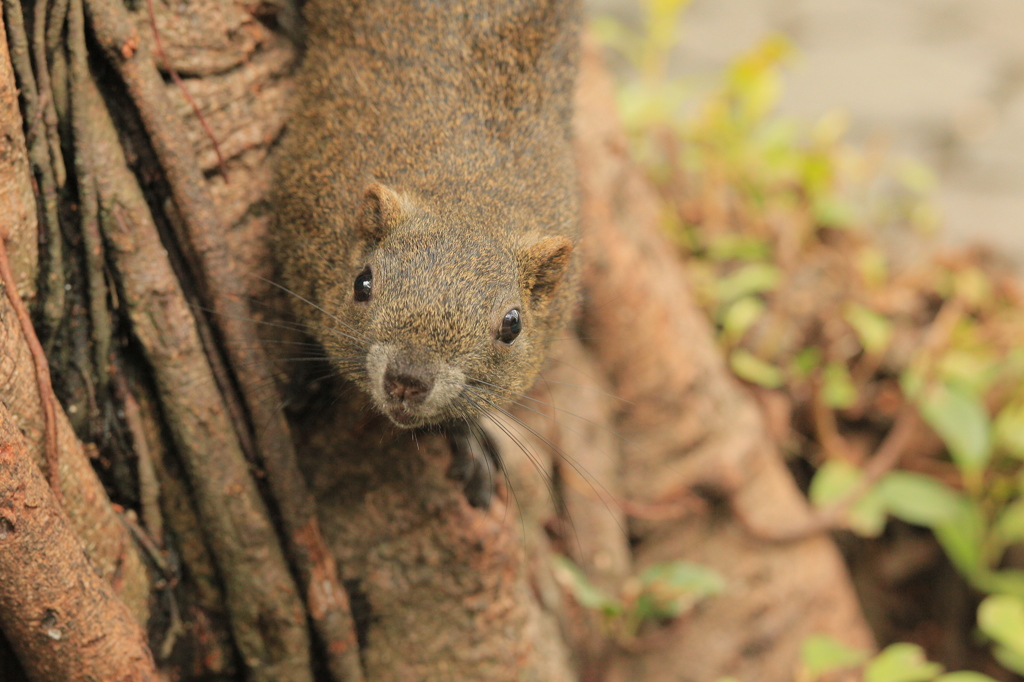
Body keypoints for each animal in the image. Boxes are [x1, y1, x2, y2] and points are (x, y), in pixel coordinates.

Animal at [270, 1, 577, 503]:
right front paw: (307, 380)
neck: (472, 195)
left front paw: (469, 436)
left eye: (513, 325)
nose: (407, 381)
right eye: (362, 283)